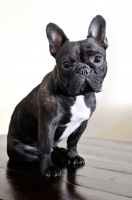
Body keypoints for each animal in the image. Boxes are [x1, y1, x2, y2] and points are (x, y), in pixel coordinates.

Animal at [7, 15, 108, 178]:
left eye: (97, 59)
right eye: (66, 65)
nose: (83, 69)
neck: (77, 96)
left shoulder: (82, 124)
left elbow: (73, 142)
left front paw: (73, 157)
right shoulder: (48, 124)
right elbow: (46, 148)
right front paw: (48, 169)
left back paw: (63, 153)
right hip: (22, 150)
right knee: (41, 153)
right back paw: (58, 157)